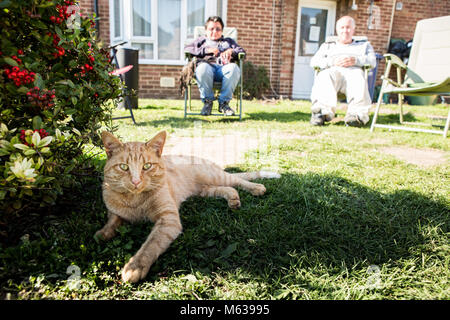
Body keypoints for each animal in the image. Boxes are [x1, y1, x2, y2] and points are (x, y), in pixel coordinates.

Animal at [95, 130, 280, 282]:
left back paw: (257, 188)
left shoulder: (168, 220)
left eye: (146, 166)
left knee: (238, 181)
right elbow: (113, 221)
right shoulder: (114, 212)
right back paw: (233, 200)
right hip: (205, 190)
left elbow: (151, 244)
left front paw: (135, 267)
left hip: (215, 176)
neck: (135, 200)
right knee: (229, 188)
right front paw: (102, 234)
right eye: (124, 167)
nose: (135, 181)